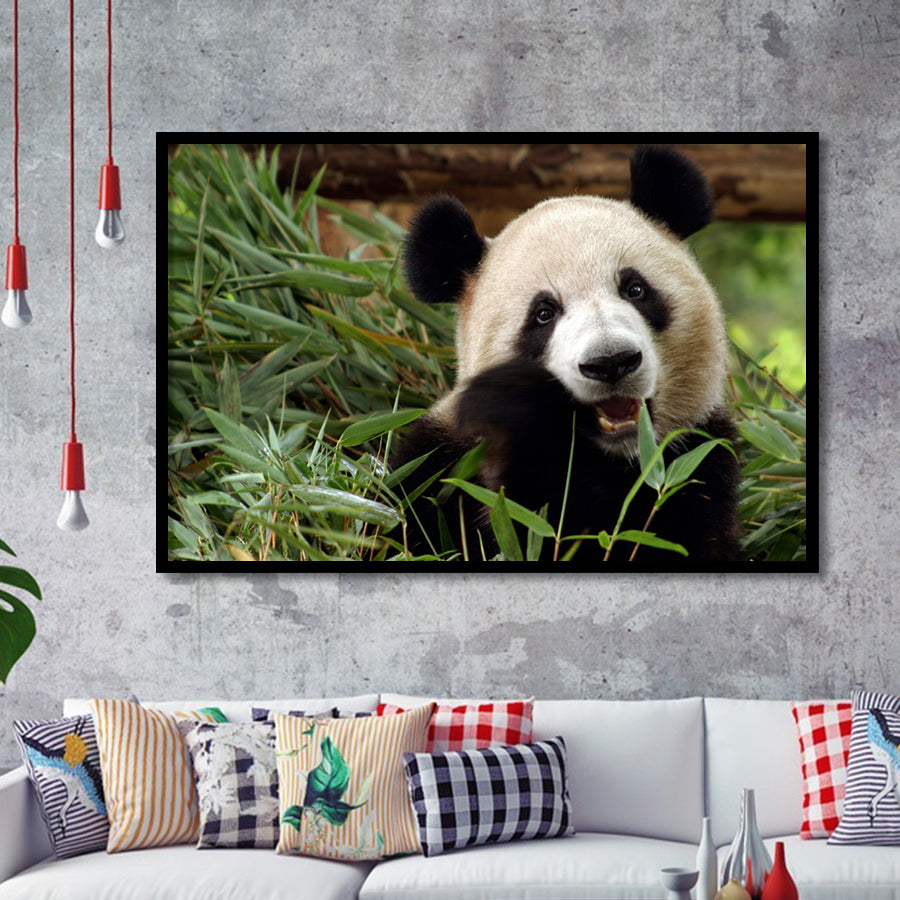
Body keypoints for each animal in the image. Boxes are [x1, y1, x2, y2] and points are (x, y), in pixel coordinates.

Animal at [392, 145, 743, 562]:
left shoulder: (697, 461)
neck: (616, 458)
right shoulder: (440, 468)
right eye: (544, 313)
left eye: (635, 289)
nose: (611, 362)